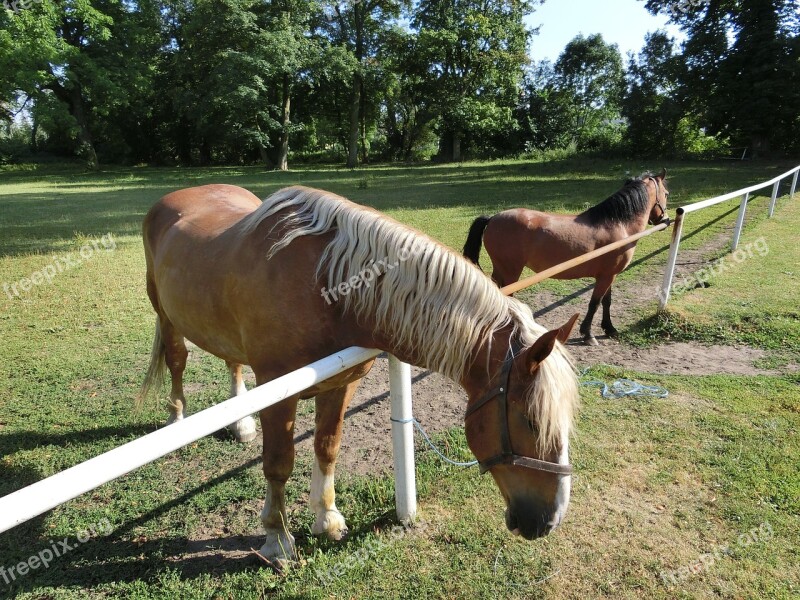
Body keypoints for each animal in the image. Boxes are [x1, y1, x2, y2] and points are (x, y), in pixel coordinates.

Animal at [139, 184, 580, 568]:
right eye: (531, 420)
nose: (551, 520)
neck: (328, 286)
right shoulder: (278, 392)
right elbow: (279, 464)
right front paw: (278, 540)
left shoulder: (342, 383)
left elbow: (327, 447)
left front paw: (327, 517)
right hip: (165, 313)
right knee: (177, 359)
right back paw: (176, 419)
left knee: (231, 361)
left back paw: (242, 424)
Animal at [462, 171, 668, 344]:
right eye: (666, 193)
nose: (664, 220)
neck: (617, 224)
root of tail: (493, 218)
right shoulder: (606, 277)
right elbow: (595, 303)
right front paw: (588, 334)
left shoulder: (609, 275)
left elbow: (606, 302)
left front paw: (609, 329)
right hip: (511, 272)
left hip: (501, 270)